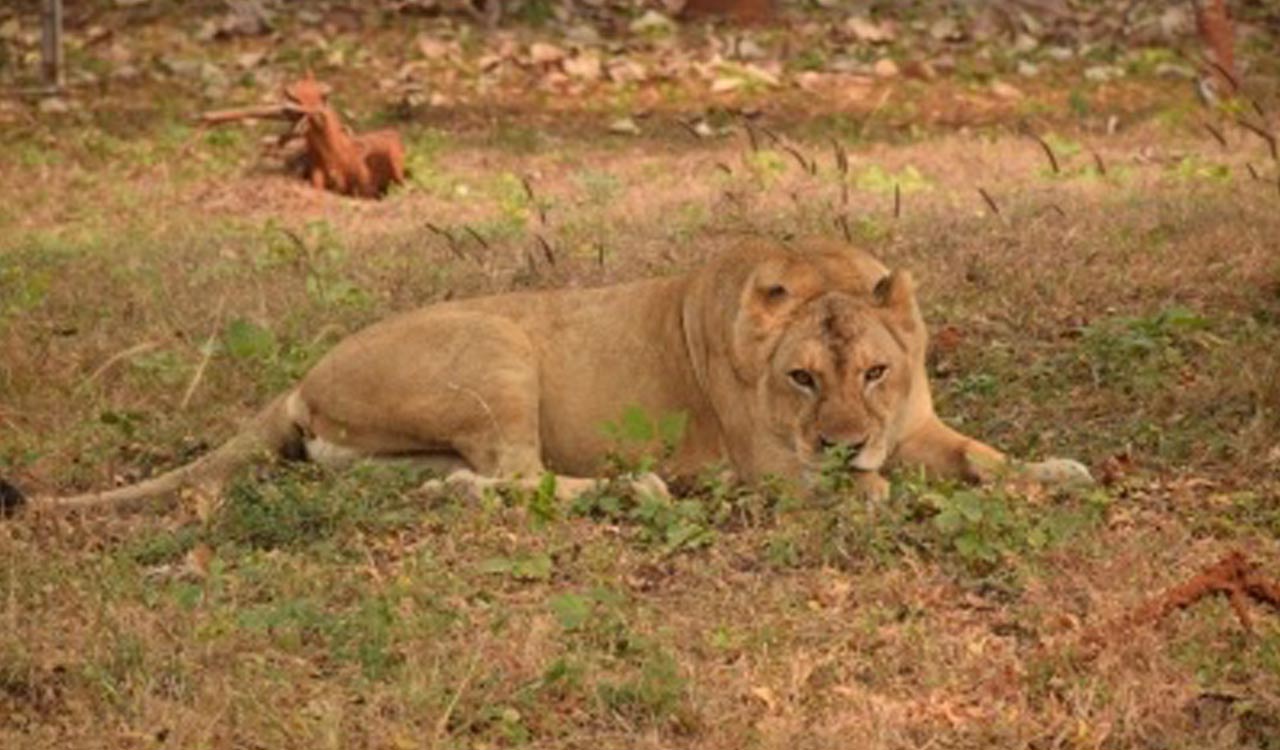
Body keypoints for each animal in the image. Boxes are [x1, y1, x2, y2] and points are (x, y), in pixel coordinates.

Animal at [23, 237, 1090, 513]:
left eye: (874, 371)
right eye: (799, 380)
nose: (842, 442)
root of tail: (299, 378)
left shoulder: (915, 427)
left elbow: (984, 456)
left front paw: (1057, 472)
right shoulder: (772, 471)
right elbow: (868, 496)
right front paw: (877, 493)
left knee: (471, 484)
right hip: (499, 353)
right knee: (524, 478)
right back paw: (642, 487)